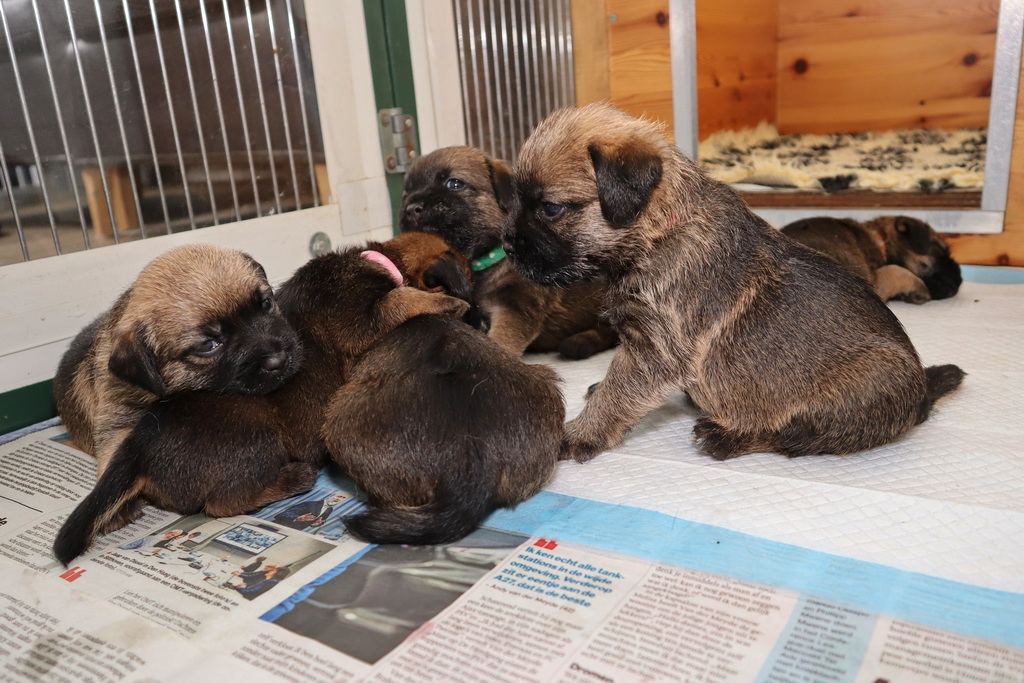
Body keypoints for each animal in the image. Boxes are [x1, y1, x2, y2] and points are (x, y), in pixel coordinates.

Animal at [399, 145, 617, 359]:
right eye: (405, 193)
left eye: (454, 184)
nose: (411, 208)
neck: (483, 262)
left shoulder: (514, 308)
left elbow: (500, 342)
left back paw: (580, 343)